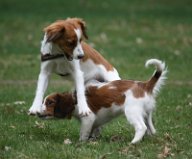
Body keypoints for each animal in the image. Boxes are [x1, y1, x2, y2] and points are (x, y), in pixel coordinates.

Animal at [38, 58, 166, 144]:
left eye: (50, 102)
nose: (38, 112)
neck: (75, 100)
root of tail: (144, 85)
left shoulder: (88, 118)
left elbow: (83, 133)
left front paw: (81, 143)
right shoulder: (94, 122)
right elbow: (94, 130)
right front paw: (93, 140)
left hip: (132, 111)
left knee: (141, 127)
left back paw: (133, 142)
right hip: (146, 113)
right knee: (151, 128)